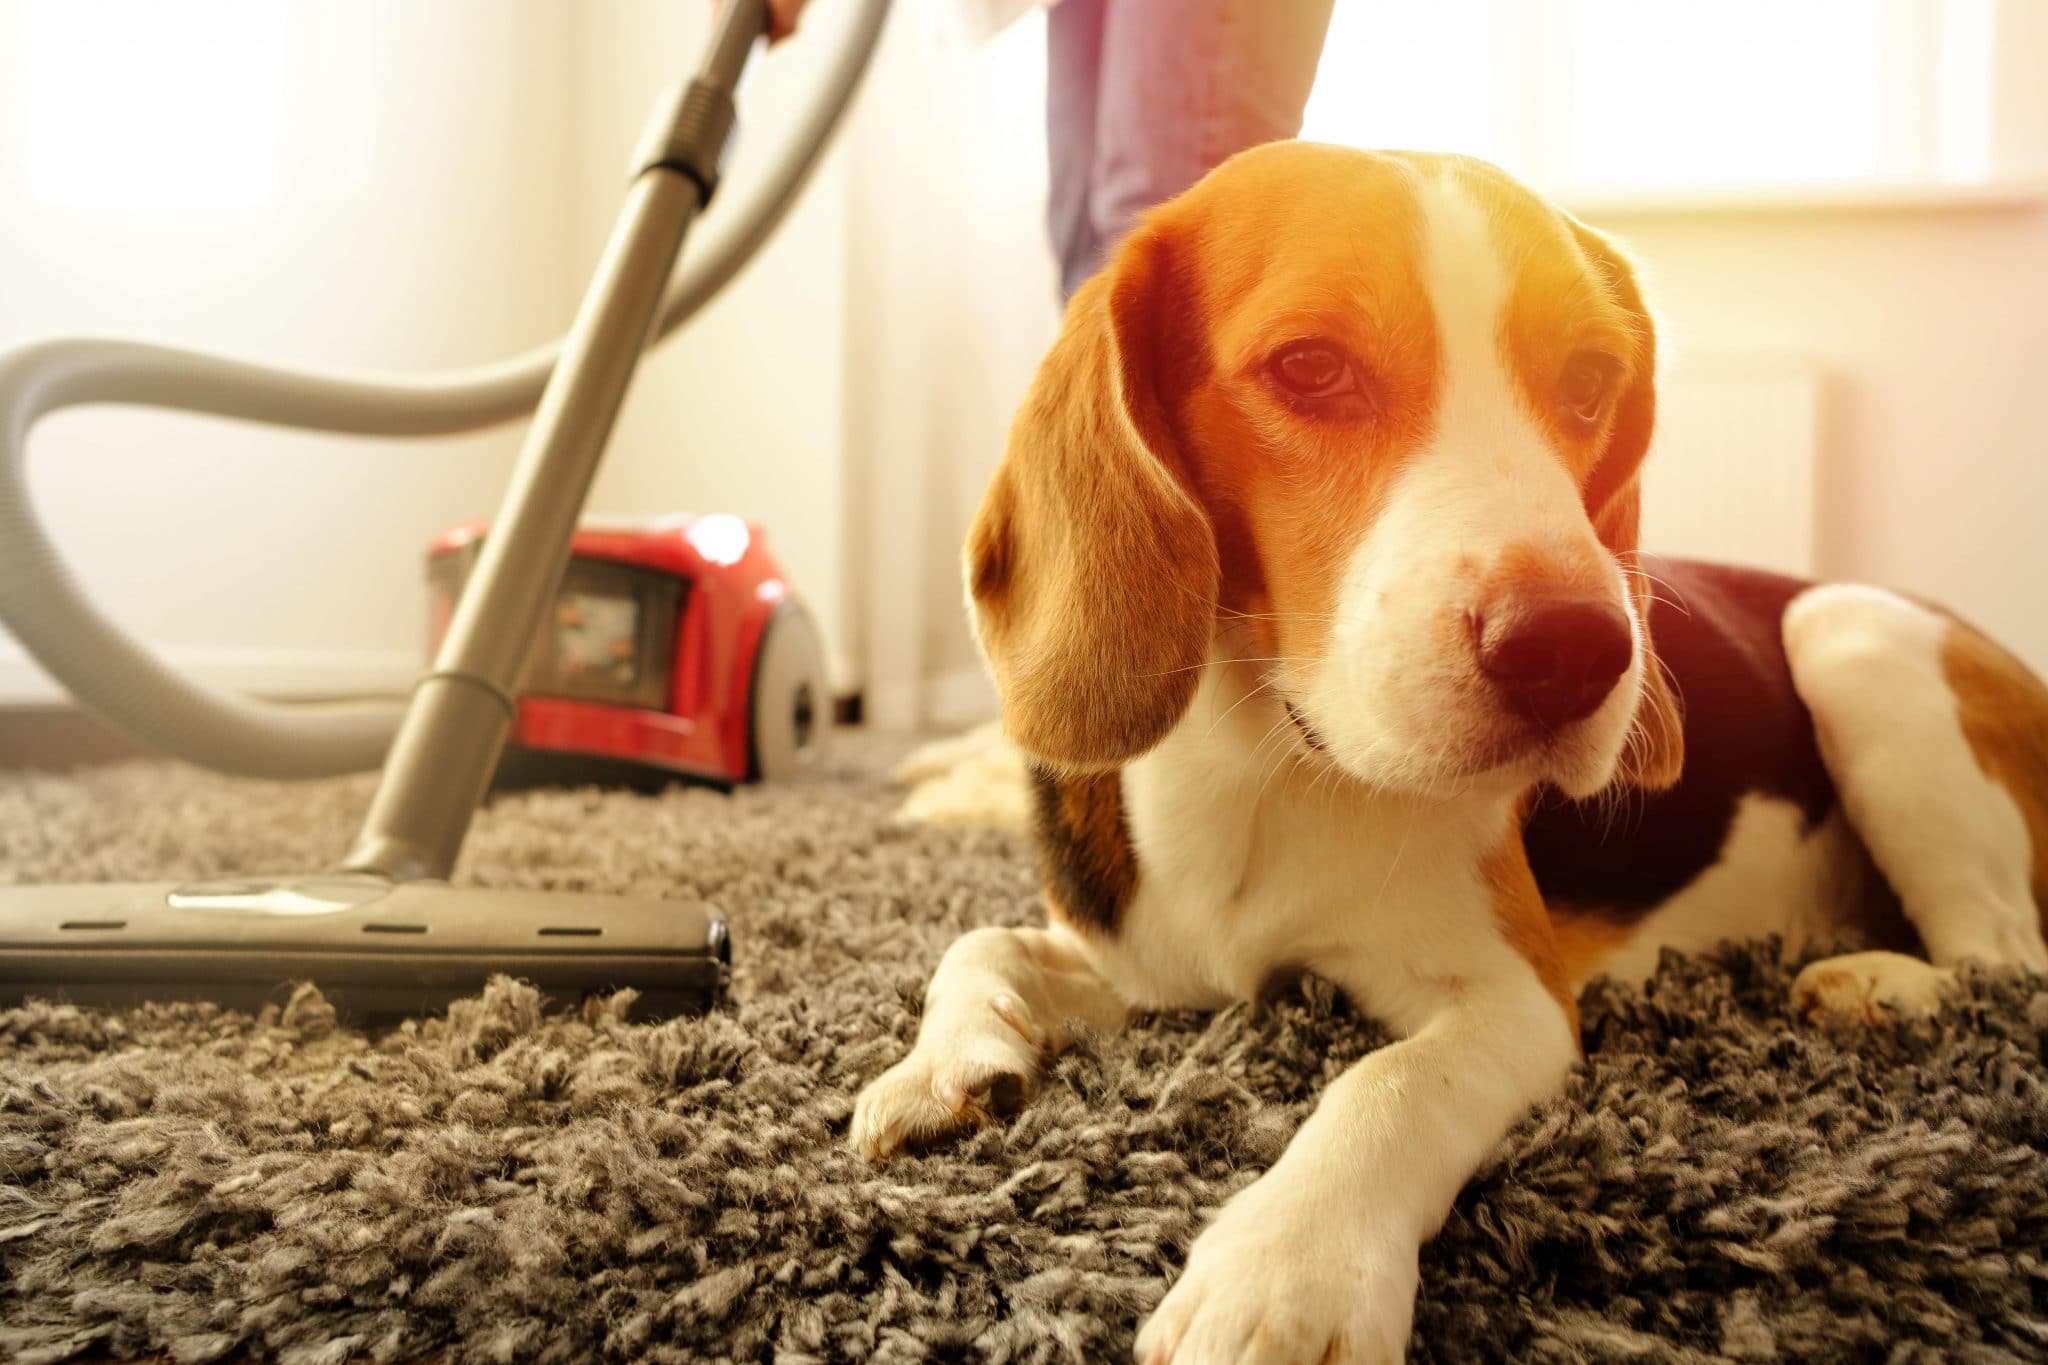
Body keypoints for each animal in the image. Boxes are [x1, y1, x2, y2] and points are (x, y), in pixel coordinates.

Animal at [843, 144, 2048, 1358]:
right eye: (1312, 367)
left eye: (1588, 381)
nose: (1578, 648)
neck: (1269, 755)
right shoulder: (1143, 960)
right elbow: (977, 943)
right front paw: (939, 1066)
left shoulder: (1517, 1003)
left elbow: (1390, 1084)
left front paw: (1287, 1276)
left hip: (1853, 636)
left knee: (2007, 959)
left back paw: (1879, 983)